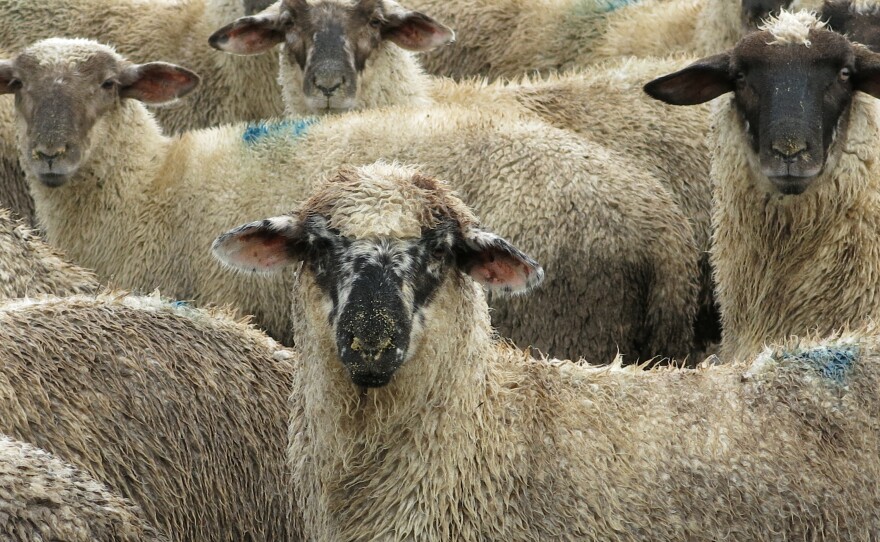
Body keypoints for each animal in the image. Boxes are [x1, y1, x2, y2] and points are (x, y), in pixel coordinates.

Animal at [4, 37, 700, 362]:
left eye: (109, 85)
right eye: (18, 86)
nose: (49, 153)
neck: (146, 188)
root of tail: (666, 234)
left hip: (566, 324)